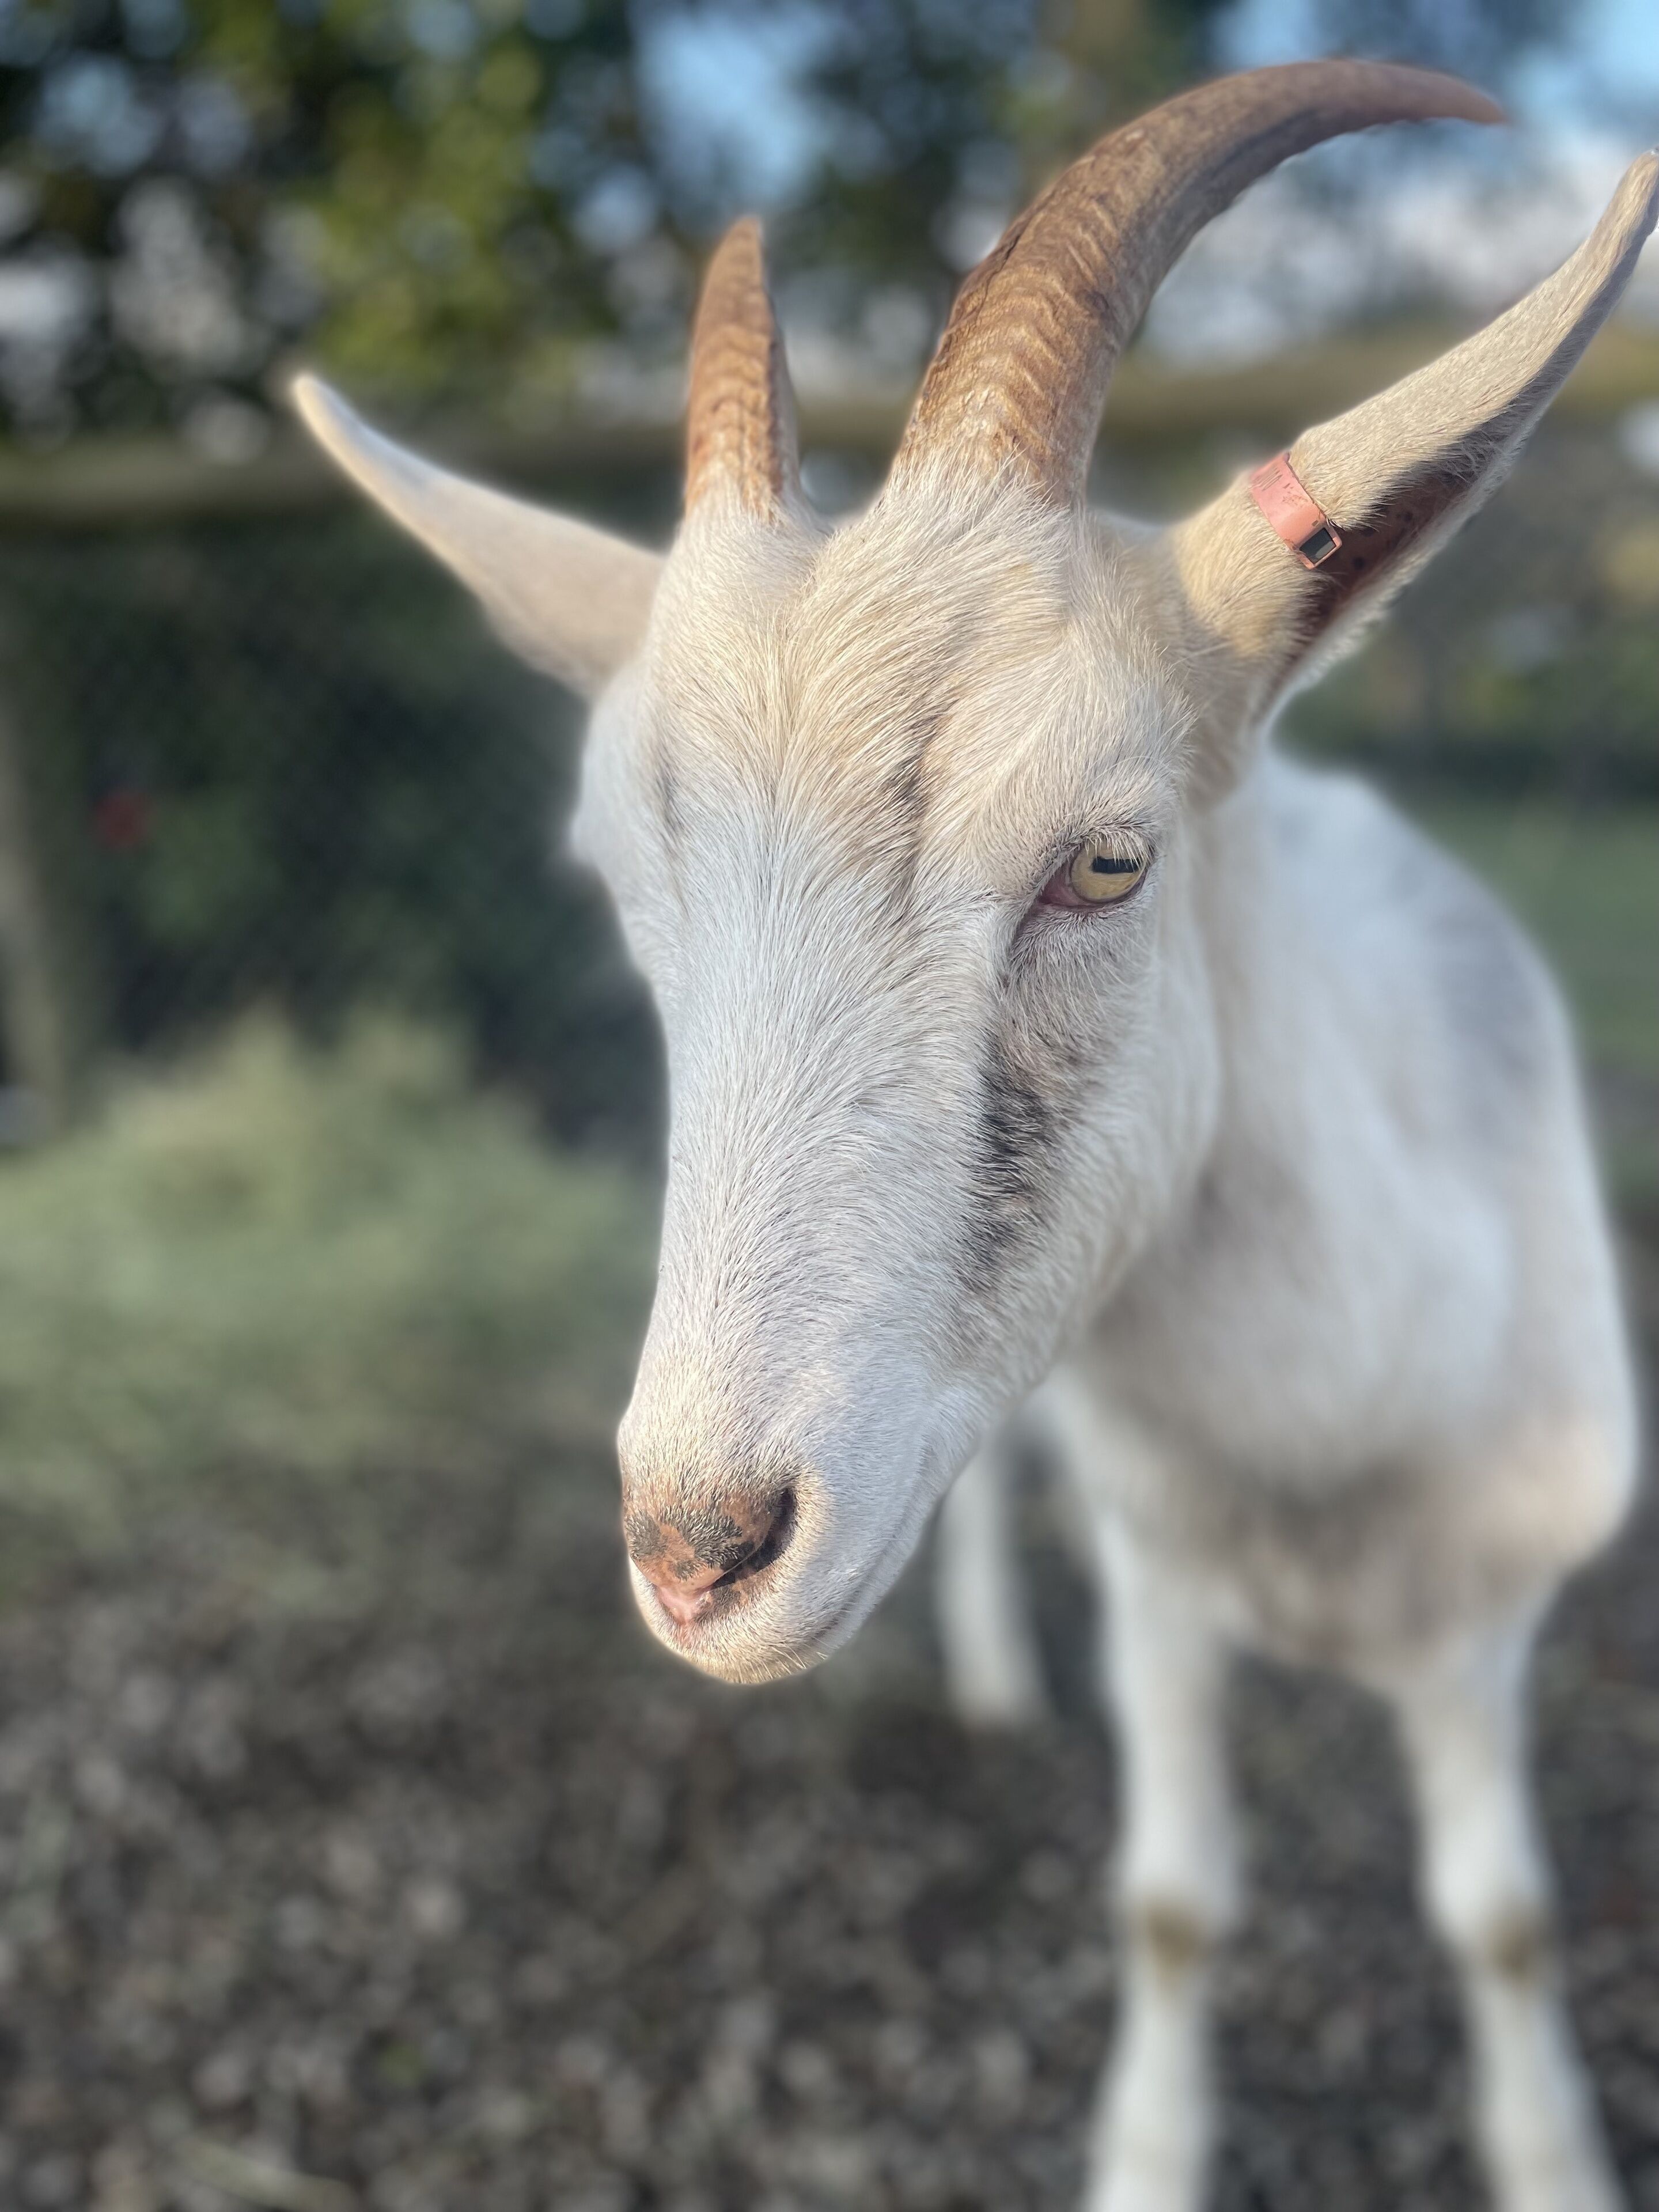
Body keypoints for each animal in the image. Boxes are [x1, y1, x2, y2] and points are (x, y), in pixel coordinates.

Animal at [295, 59, 1654, 2212]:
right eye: (621, 880)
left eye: (1106, 857)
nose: (701, 1549)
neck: (1334, 1438)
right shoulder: (1167, 1575)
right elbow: (1174, 1900)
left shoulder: (1490, 1616)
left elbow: (1505, 1916)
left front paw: (1552, 2160)